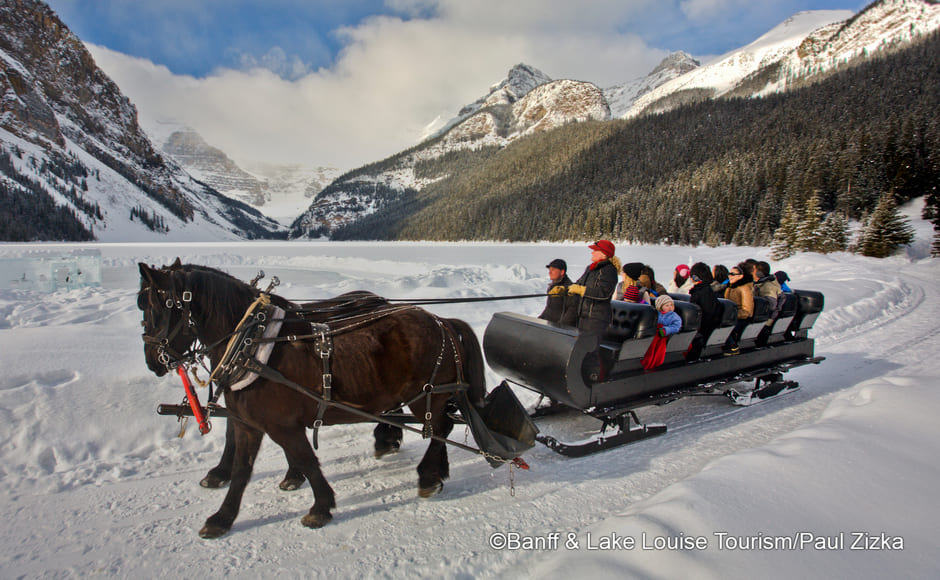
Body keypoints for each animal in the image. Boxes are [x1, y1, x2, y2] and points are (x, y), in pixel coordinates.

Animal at [138, 260, 484, 536]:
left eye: (155, 309)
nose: (153, 361)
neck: (251, 342)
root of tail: (441, 321)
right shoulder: (251, 423)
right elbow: (242, 468)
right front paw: (223, 516)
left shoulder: (281, 425)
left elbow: (306, 459)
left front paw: (320, 505)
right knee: (432, 426)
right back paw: (415, 458)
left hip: (427, 396)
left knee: (440, 429)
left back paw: (427, 474)